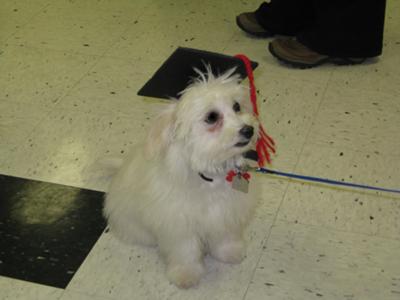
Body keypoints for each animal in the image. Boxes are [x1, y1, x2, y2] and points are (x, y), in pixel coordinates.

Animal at [103, 68, 260, 288]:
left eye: (236, 106)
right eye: (212, 117)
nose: (249, 129)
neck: (208, 174)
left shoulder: (225, 212)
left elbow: (224, 236)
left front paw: (229, 252)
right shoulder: (178, 224)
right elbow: (185, 251)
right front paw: (186, 274)